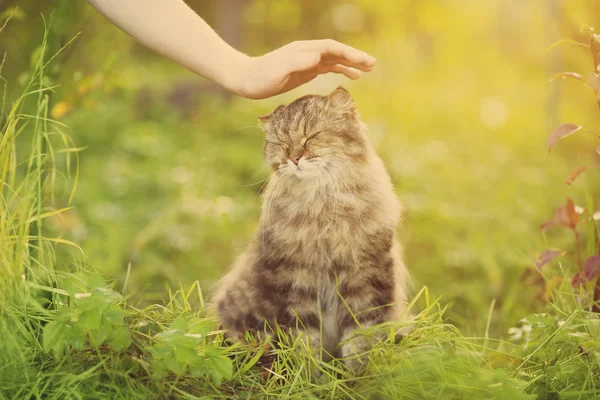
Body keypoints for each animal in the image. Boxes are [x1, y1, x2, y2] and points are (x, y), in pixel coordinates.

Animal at [213, 86, 410, 366]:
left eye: (311, 137)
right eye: (282, 144)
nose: (295, 158)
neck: (322, 206)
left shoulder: (364, 281)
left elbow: (360, 343)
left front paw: (355, 376)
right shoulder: (297, 284)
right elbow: (304, 347)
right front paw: (311, 375)